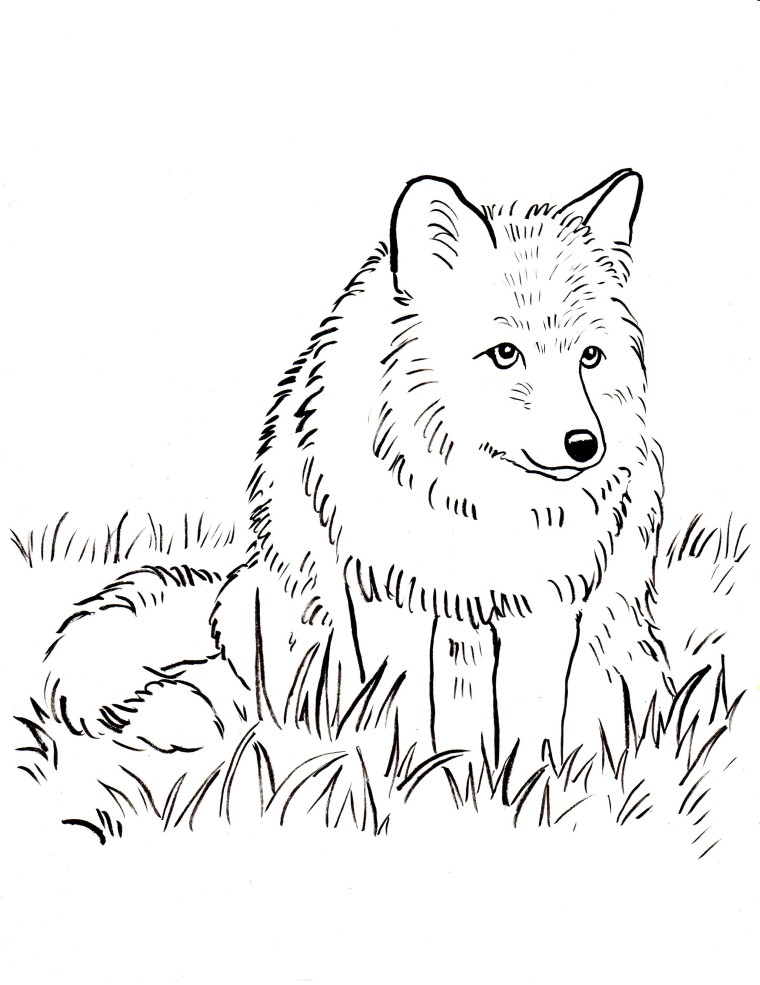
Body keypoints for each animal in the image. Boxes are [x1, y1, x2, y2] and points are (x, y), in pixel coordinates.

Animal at [32, 170, 669, 822]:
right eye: (504, 354)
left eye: (589, 357)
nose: (585, 446)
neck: (477, 504)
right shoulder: (388, 595)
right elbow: (406, 713)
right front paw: (413, 787)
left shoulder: (546, 606)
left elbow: (533, 723)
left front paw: (530, 793)